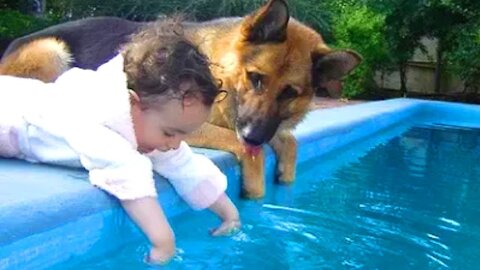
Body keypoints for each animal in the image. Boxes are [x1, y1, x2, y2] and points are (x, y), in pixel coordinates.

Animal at [0, 0, 360, 198]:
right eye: (256, 78)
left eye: (290, 94)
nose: (255, 135)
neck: (220, 68)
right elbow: (244, 147)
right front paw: (255, 188)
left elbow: (289, 142)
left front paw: (284, 173)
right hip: (51, 50)